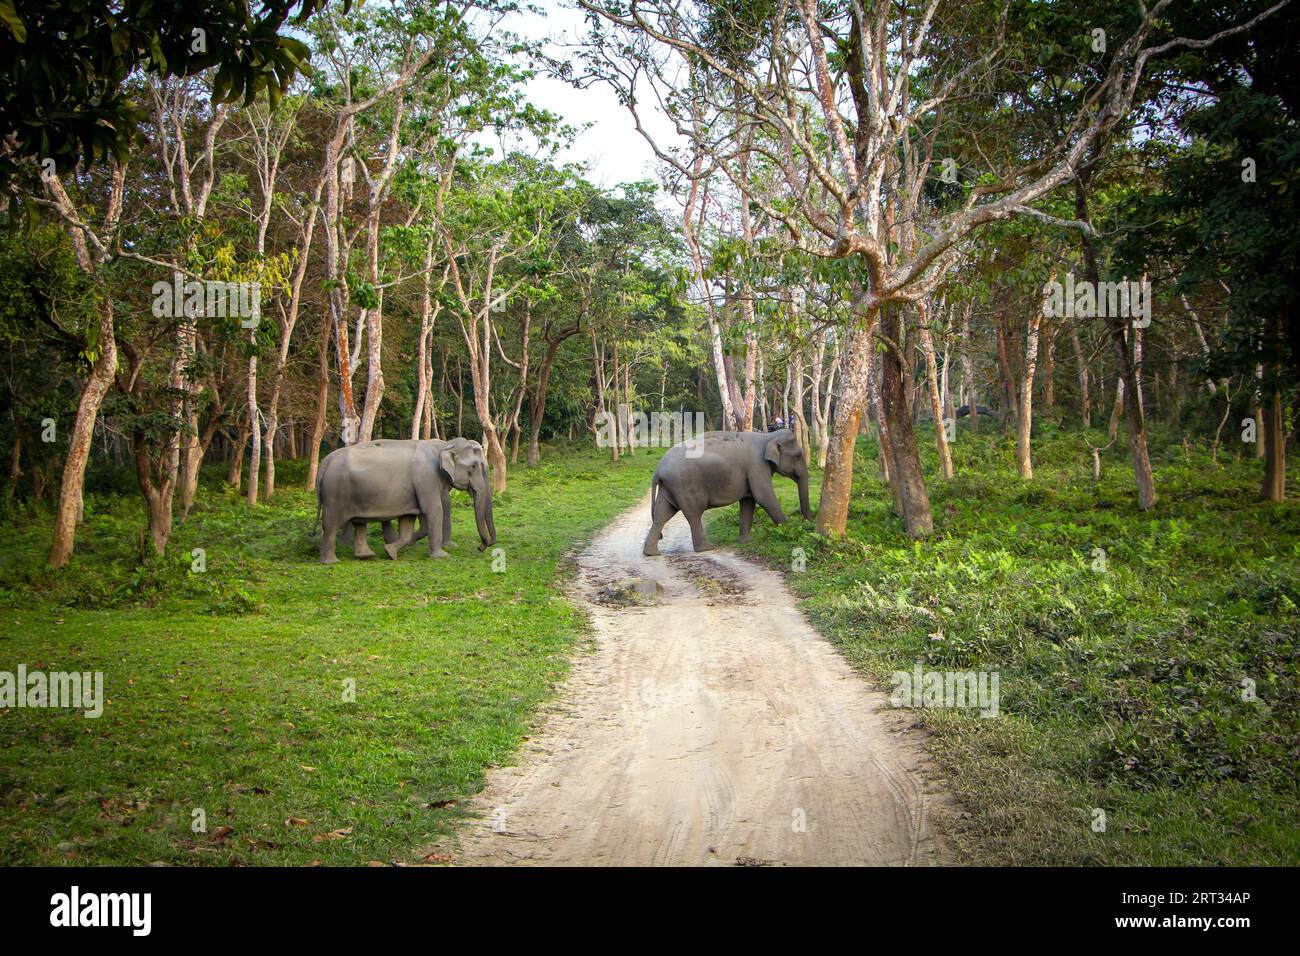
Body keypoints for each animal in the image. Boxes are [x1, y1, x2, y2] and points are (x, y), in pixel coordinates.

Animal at [315, 439, 496, 564]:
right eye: (473, 468)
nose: (480, 548)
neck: (443, 445)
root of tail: (325, 462)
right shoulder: (426, 478)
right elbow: (434, 509)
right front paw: (442, 556)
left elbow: (408, 522)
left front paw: (390, 552)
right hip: (335, 493)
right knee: (330, 525)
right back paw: (331, 561)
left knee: (359, 522)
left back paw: (366, 555)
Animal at [642, 429, 806, 556]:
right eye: (798, 456)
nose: (805, 522)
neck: (768, 436)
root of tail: (658, 470)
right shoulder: (757, 466)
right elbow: (764, 497)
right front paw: (791, 533)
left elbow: (748, 501)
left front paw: (744, 542)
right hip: (684, 485)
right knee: (693, 514)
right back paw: (707, 548)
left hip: (670, 486)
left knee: (662, 514)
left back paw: (651, 553)